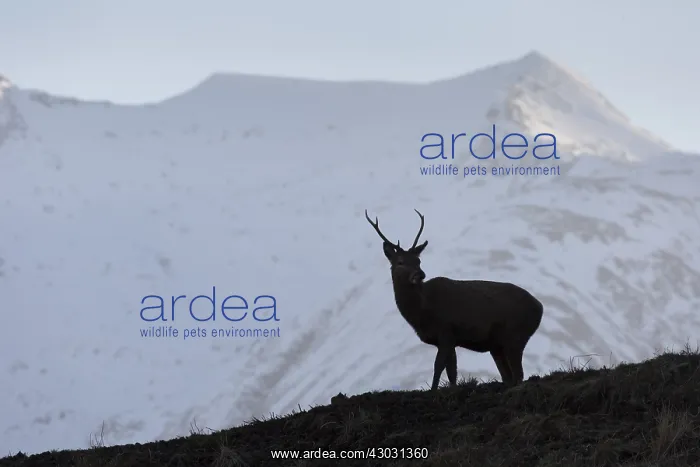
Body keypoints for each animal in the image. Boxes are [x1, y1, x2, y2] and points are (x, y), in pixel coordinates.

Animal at [365, 209, 544, 391]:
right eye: (400, 262)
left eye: (418, 260)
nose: (419, 274)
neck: (422, 310)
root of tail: (540, 308)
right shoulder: (450, 339)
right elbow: (452, 372)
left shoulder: (446, 331)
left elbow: (438, 367)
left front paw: (433, 391)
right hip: (497, 345)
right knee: (508, 376)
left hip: (515, 335)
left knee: (519, 375)